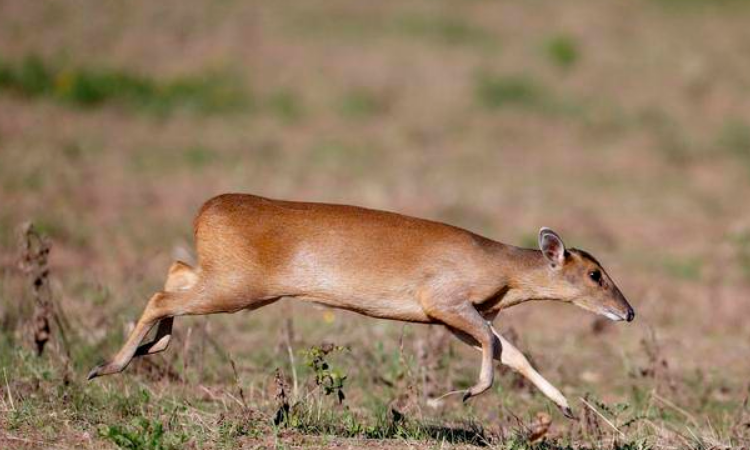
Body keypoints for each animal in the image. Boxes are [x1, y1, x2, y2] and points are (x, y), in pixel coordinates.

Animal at [89, 192, 640, 416]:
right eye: (595, 274)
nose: (629, 311)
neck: (501, 269)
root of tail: (205, 212)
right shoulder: (444, 301)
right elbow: (493, 345)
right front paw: (457, 395)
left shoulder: (457, 316)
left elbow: (513, 352)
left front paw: (566, 406)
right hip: (239, 286)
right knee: (162, 293)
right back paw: (107, 366)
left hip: (224, 277)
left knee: (174, 273)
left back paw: (149, 349)